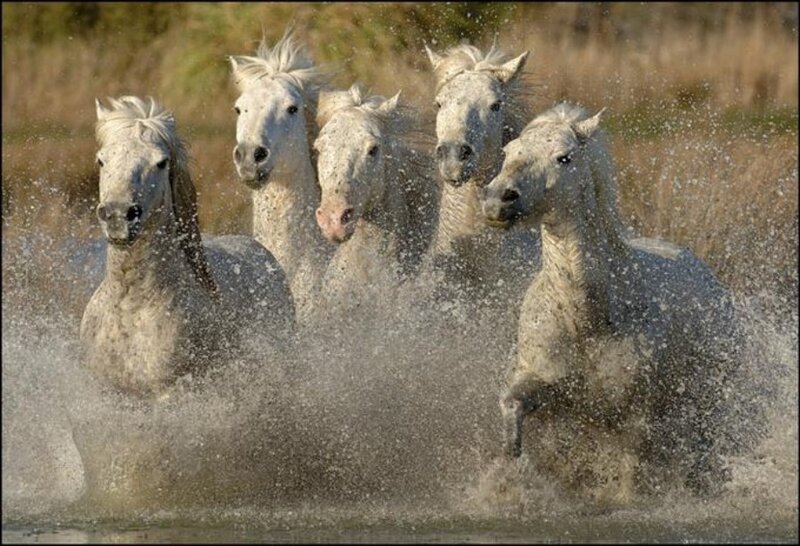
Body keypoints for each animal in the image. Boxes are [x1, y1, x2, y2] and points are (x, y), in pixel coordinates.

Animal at [81, 96, 295, 398]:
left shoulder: (168, 393)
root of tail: (261, 252)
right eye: (101, 160)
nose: (118, 215)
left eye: (161, 163)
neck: (130, 305)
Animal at [480, 102, 758, 501]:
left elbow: (630, 478)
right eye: (509, 151)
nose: (497, 200)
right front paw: (510, 464)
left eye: (564, 158)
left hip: (707, 400)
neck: (589, 318)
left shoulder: (637, 416)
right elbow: (513, 403)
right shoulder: (548, 385)